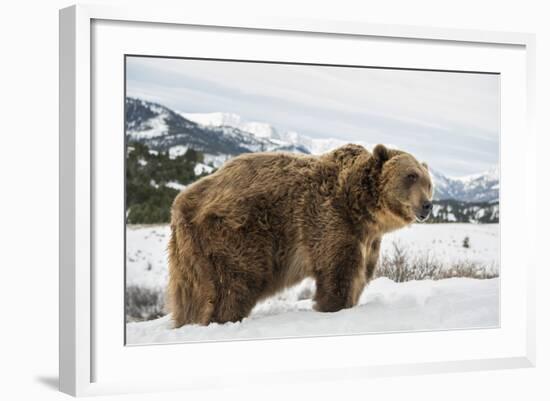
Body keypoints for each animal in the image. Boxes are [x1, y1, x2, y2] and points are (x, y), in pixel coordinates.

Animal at [166, 142, 434, 326]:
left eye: (428, 182)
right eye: (411, 176)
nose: (427, 205)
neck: (361, 207)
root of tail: (180, 202)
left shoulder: (367, 239)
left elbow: (360, 274)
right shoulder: (330, 221)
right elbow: (338, 272)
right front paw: (333, 306)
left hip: (189, 253)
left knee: (189, 295)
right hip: (234, 236)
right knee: (233, 285)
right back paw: (224, 318)